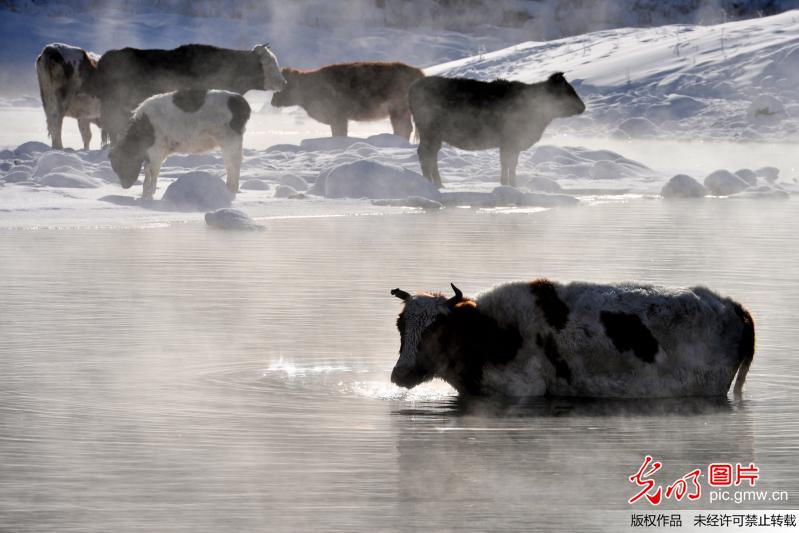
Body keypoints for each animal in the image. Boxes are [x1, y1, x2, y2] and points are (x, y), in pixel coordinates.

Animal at [272, 61, 424, 140]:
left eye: (284, 85)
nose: (273, 101)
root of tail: (418, 73)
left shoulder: (338, 118)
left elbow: (339, 133)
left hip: (398, 110)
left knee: (403, 128)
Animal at [410, 71, 584, 186]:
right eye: (568, 91)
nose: (583, 107)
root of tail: (414, 86)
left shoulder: (511, 145)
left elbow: (510, 163)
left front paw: (509, 183)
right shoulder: (509, 142)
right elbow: (507, 163)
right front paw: (509, 184)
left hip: (433, 136)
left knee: (430, 156)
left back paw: (437, 183)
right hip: (430, 133)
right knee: (426, 155)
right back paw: (433, 183)